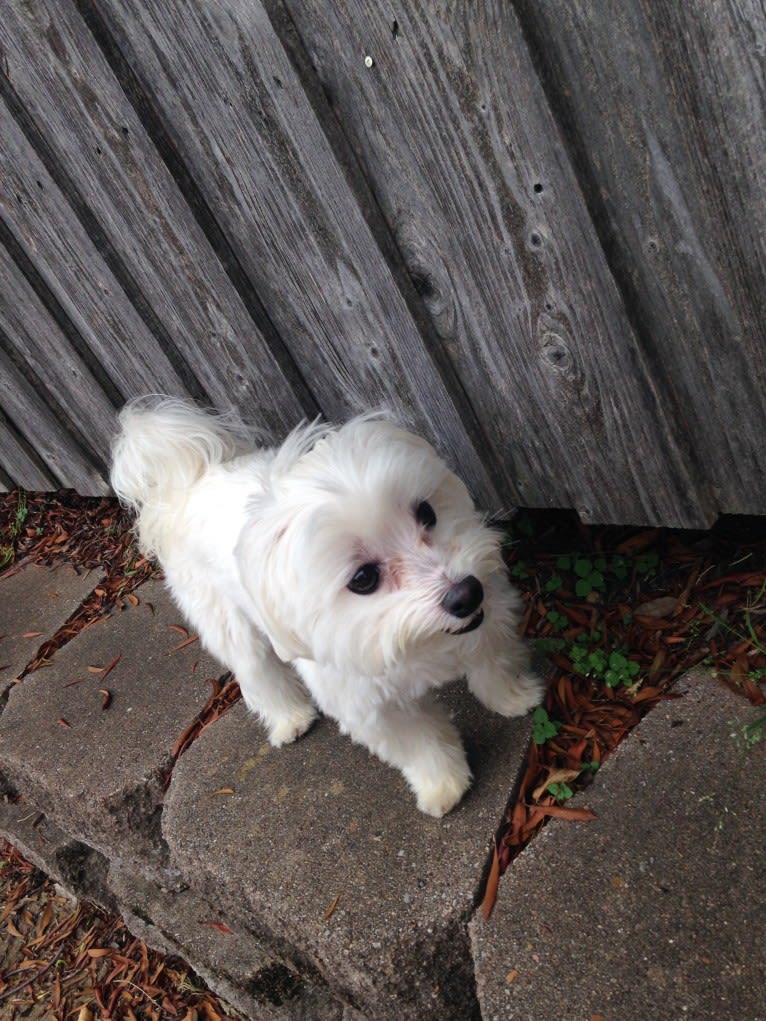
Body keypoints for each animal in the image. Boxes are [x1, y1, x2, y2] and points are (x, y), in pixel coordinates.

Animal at [110, 396, 543, 812]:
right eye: (363, 579)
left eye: (426, 512)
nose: (465, 594)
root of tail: (193, 476)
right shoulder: (371, 707)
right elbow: (421, 745)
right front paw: (443, 785)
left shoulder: (485, 612)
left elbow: (493, 661)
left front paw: (514, 696)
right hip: (227, 622)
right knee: (256, 670)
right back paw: (290, 718)